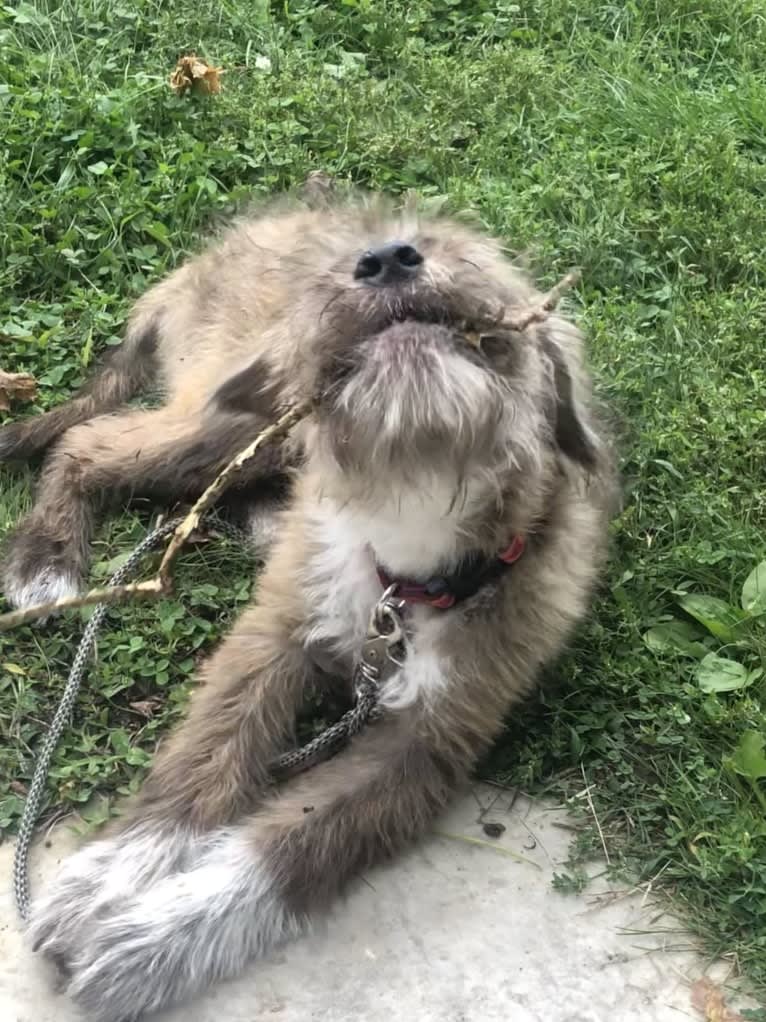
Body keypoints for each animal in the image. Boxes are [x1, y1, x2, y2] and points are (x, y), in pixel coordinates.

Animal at [4, 183, 616, 1021]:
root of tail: (211, 256)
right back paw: (47, 556)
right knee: (88, 443)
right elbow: (206, 755)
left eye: (470, 256)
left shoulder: (428, 742)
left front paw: (155, 939)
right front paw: (118, 872)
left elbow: (297, 840)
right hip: (237, 425)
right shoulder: (273, 634)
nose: (388, 258)